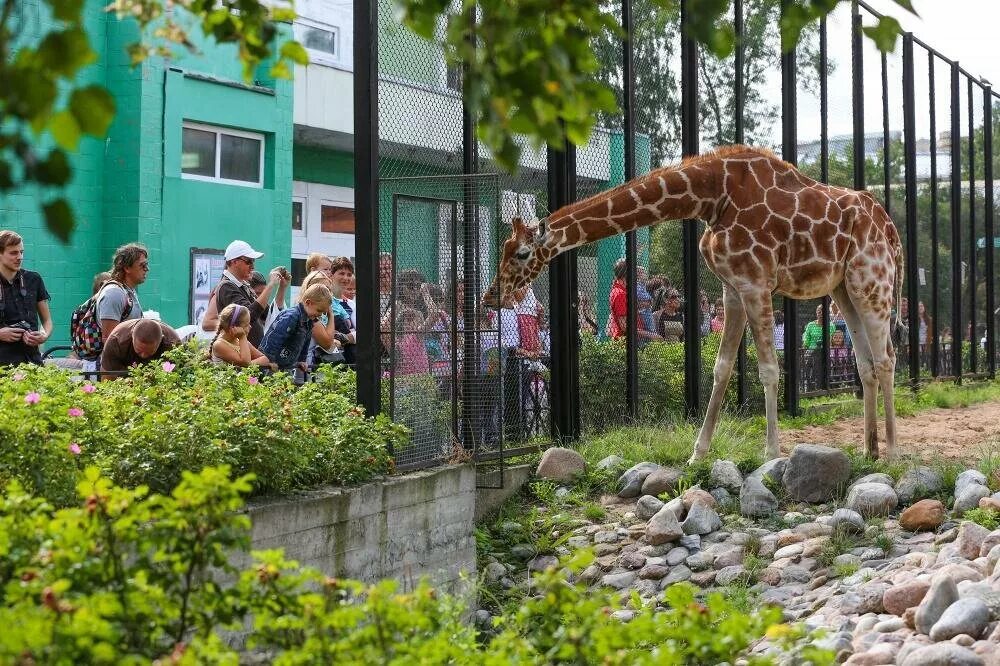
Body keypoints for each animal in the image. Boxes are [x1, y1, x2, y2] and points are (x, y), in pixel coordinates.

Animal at [484, 144, 908, 462]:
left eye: (521, 253)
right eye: (503, 248)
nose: (492, 296)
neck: (712, 195)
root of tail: (891, 230)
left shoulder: (756, 282)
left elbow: (768, 370)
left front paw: (771, 454)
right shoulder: (731, 288)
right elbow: (720, 369)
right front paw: (697, 453)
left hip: (872, 281)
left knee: (887, 357)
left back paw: (893, 451)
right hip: (843, 288)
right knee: (866, 363)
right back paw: (868, 450)